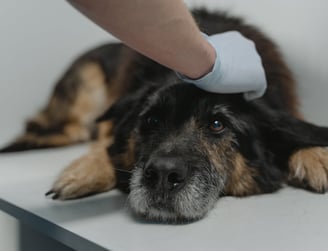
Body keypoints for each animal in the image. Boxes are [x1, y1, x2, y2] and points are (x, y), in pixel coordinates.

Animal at [1, 8, 328, 223]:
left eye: (217, 124)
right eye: (151, 120)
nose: (161, 175)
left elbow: (298, 130)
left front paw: (316, 155)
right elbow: (110, 141)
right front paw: (87, 170)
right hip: (87, 80)